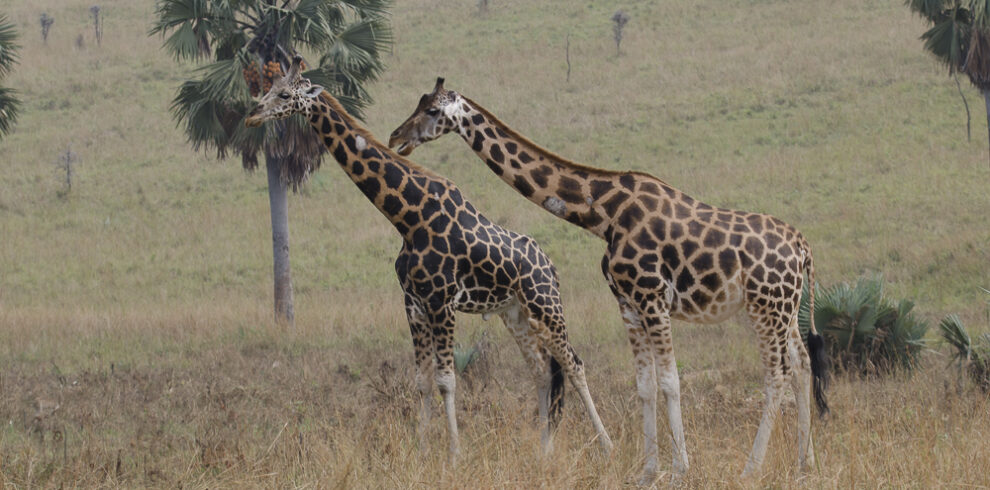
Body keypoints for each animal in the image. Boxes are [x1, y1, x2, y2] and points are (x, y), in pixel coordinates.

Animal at [244, 58, 613, 465]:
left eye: (283, 94)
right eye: (266, 87)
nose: (251, 115)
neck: (408, 218)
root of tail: (551, 265)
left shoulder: (441, 301)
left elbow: (446, 380)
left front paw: (454, 455)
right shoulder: (414, 304)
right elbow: (422, 382)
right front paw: (421, 450)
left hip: (546, 304)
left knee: (574, 364)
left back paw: (607, 445)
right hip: (515, 313)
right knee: (543, 371)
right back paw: (544, 449)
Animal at [388, 78, 830, 481]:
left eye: (432, 110)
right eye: (418, 102)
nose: (396, 137)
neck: (605, 215)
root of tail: (804, 246)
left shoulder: (652, 296)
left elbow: (670, 381)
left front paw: (680, 469)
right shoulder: (628, 303)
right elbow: (645, 385)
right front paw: (648, 470)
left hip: (767, 307)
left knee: (776, 375)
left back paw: (751, 470)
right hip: (784, 309)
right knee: (801, 363)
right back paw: (805, 464)